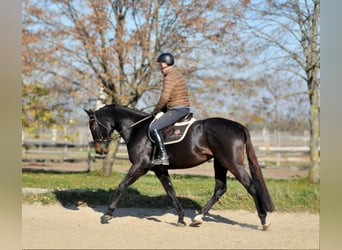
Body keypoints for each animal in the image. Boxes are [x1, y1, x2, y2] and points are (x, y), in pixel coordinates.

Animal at [86, 104, 276, 230]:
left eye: (93, 125)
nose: (100, 149)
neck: (136, 129)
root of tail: (238, 125)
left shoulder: (140, 166)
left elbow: (122, 185)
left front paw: (107, 214)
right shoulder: (160, 169)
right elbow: (171, 192)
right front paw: (181, 218)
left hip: (232, 163)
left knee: (251, 186)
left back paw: (264, 220)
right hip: (220, 163)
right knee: (220, 189)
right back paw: (198, 217)